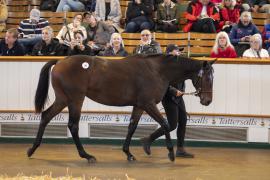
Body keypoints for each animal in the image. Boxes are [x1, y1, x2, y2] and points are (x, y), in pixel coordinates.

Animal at [26, 53, 214, 163]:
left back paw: (32, 149)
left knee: (45, 116)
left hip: (63, 99)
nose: (207, 100)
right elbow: (166, 124)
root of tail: (60, 61)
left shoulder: (139, 105)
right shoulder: (148, 103)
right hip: (75, 99)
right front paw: (170, 153)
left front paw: (129, 153)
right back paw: (86, 155)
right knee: (73, 126)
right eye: (206, 78)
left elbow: (132, 127)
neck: (157, 70)